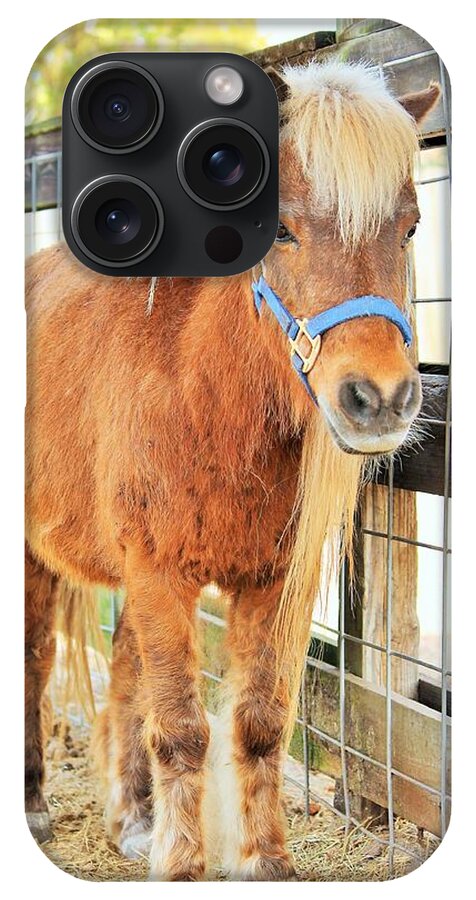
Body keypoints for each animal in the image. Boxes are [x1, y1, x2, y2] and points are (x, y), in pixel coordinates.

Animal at [25, 60, 440, 880]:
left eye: (409, 227)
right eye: (280, 229)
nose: (379, 399)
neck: (203, 388)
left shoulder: (271, 581)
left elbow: (257, 723)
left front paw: (264, 863)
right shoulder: (159, 571)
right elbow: (183, 729)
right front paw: (185, 867)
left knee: (126, 676)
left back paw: (133, 820)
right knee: (35, 661)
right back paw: (34, 805)